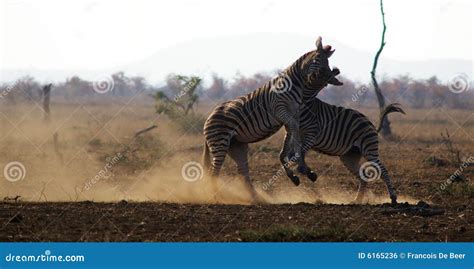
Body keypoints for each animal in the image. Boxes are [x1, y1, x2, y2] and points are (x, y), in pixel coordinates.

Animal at [202, 36, 342, 202]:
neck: (294, 86)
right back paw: (215, 198)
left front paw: (298, 170)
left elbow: (291, 137)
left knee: (242, 173)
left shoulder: (291, 117)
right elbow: (295, 134)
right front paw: (301, 166)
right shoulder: (280, 109)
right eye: (317, 59)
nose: (332, 75)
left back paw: (256, 198)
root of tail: (208, 118)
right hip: (220, 143)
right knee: (213, 171)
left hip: (236, 147)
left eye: (328, 62)